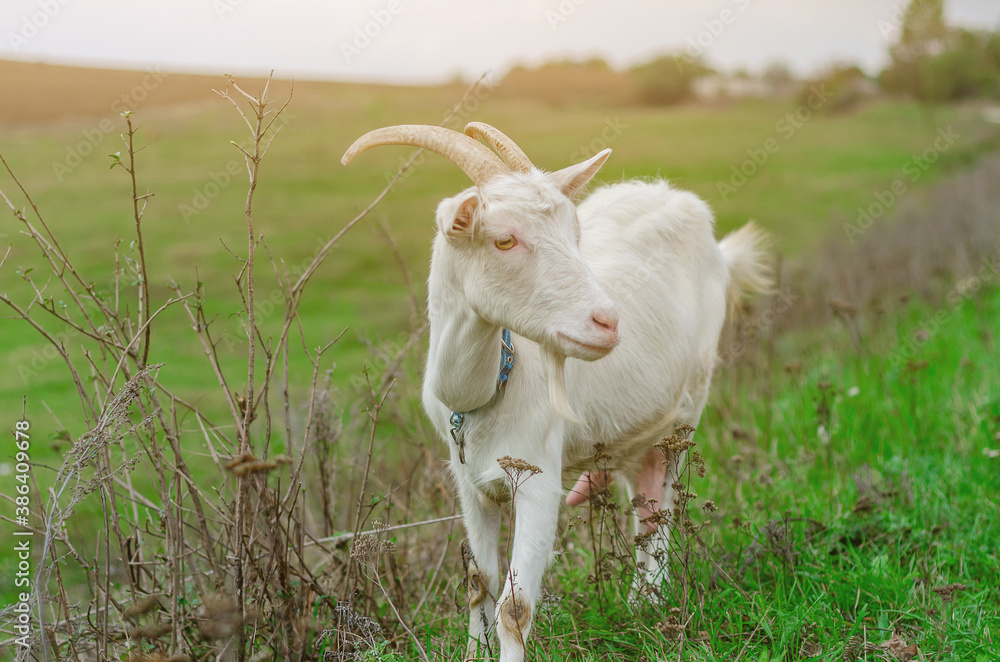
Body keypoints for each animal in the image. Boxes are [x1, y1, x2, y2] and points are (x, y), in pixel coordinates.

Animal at [342, 122, 771, 662]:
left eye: (575, 236)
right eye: (504, 240)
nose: (608, 322)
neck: (487, 390)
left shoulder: (538, 477)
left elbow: (515, 604)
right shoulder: (467, 483)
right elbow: (478, 581)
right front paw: (473, 649)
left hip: (688, 408)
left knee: (662, 501)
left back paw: (654, 602)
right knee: (641, 491)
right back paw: (640, 603)